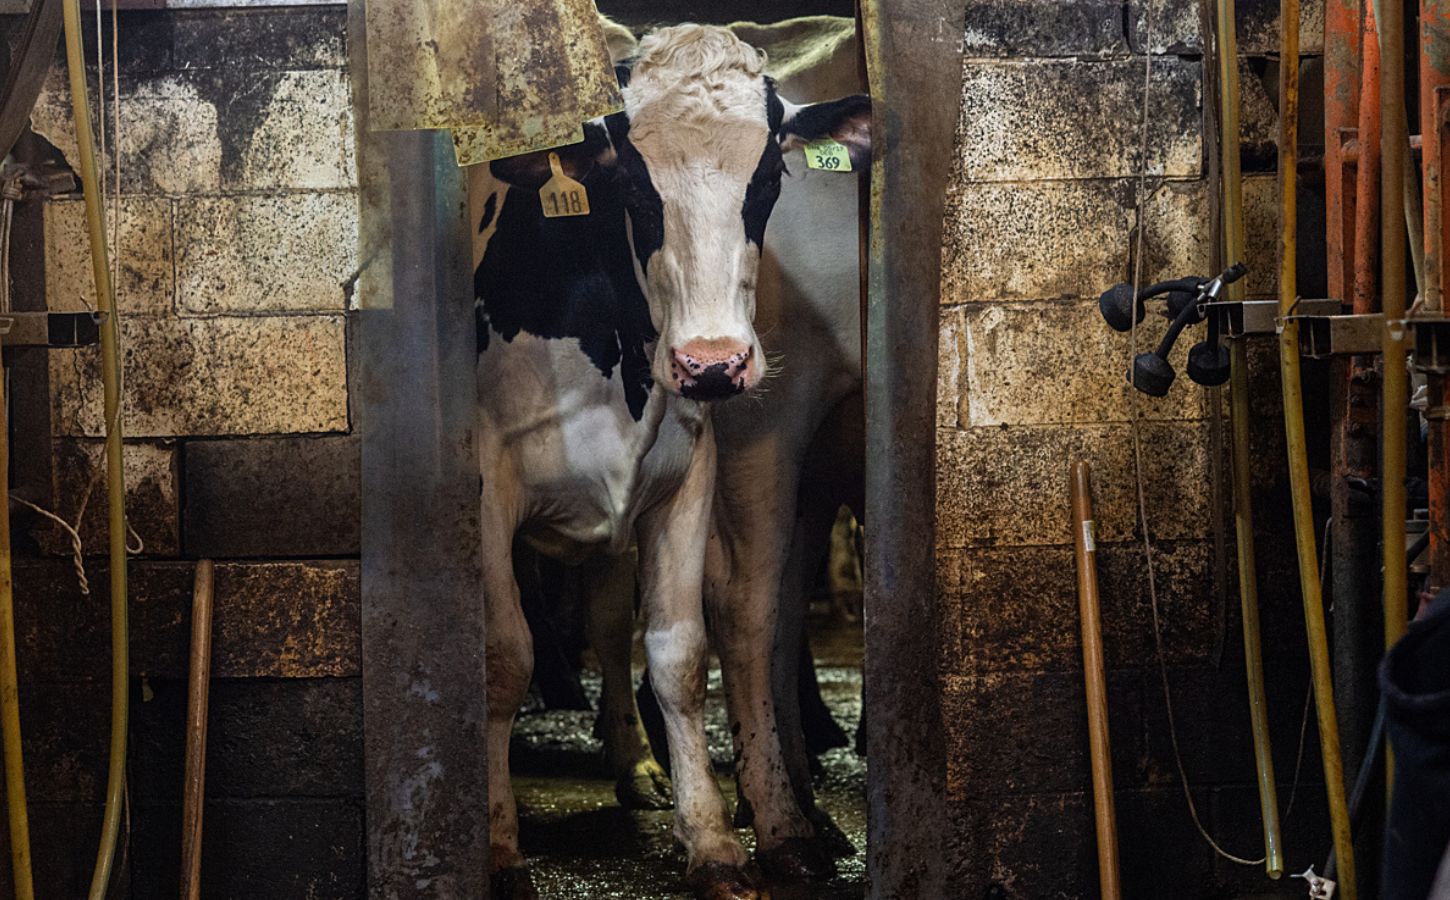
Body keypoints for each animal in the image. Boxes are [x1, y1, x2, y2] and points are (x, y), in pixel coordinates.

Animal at [469, 22, 864, 898]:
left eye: (768, 178)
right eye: (633, 185)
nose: (712, 363)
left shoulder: (686, 479)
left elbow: (679, 657)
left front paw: (714, 840)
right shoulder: (484, 488)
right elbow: (504, 655)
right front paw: (499, 850)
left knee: (612, 624)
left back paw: (636, 764)